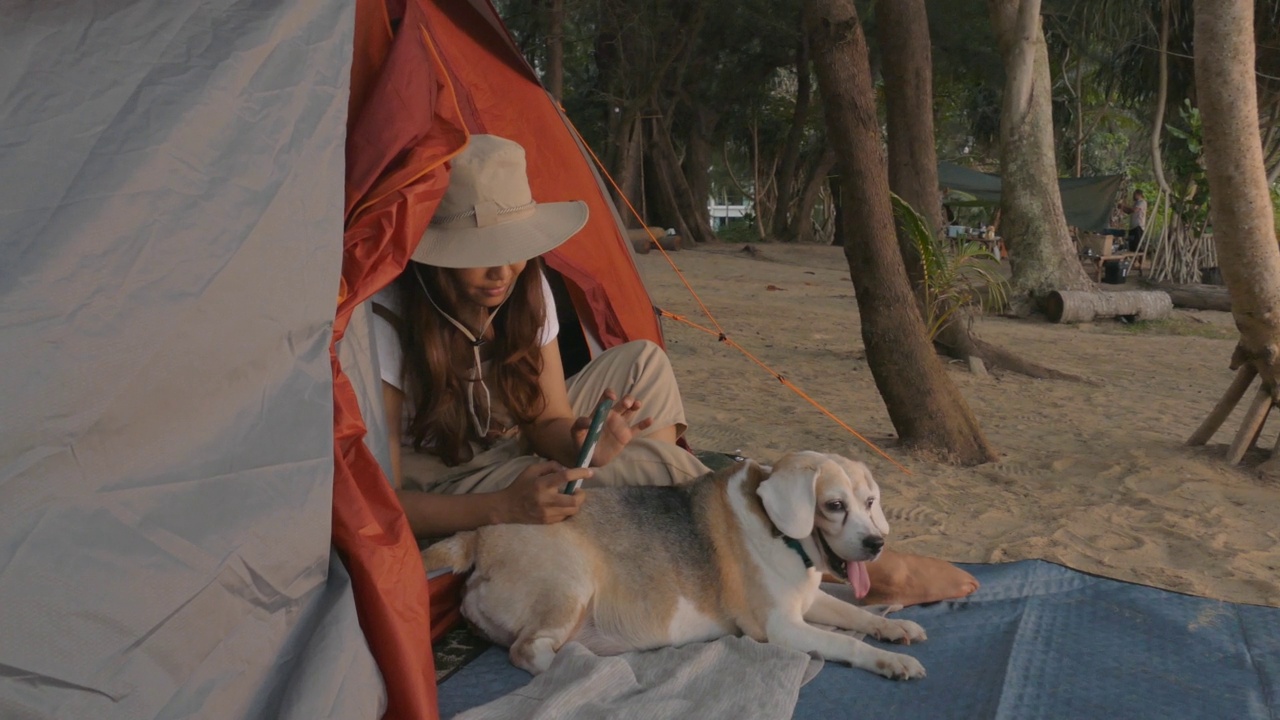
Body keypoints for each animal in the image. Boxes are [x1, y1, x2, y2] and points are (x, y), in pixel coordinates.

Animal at [424, 448, 926, 676]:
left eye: (870, 501)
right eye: (834, 506)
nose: (877, 543)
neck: (783, 533)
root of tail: (478, 537)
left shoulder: (808, 601)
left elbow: (857, 613)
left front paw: (895, 627)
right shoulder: (782, 628)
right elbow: (846, 642)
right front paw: (889, 660)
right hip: (571, 584)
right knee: (529, 651)